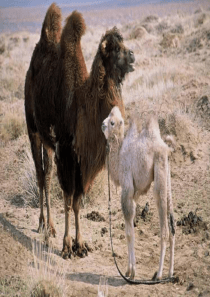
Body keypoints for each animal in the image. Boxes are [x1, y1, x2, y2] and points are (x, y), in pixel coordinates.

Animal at [24, 1, 135, 256]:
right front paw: (67, 246)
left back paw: (50, 225)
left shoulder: (83, 160)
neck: (82, 106)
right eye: (116, 49)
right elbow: (67, 197)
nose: (133, 55)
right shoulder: (67, 151)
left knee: (46, 174)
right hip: (33, 130)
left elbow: (76, 202)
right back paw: (43, 224)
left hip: (48, 142)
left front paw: (80, 244)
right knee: (40, 175)